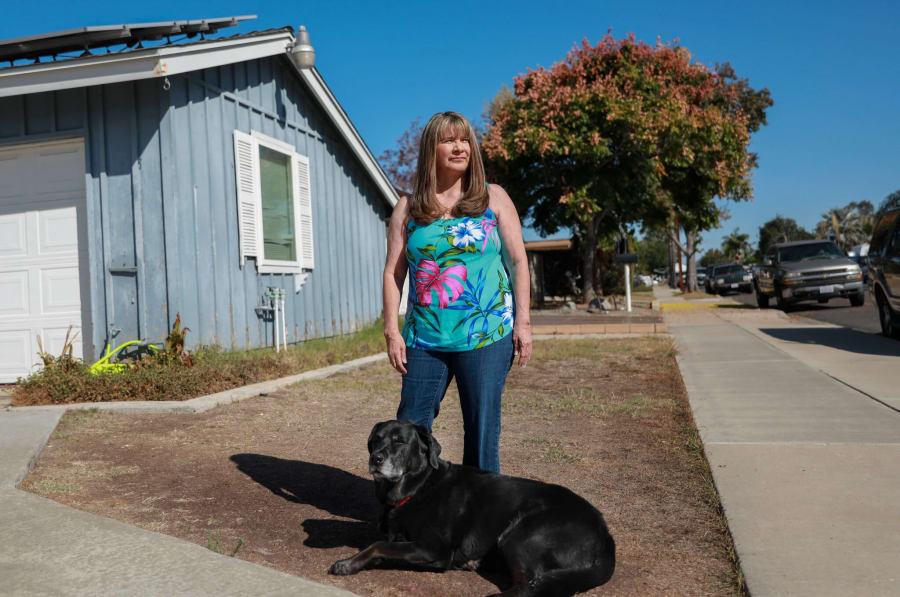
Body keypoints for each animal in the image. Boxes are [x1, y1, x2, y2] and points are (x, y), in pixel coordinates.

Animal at [330, 420, 620, 596]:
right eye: (375, 440)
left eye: (400, 441)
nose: (375, 458)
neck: (418, 488)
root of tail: (605, 534)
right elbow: (386, 546)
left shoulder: (434, 549)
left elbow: (378, 545)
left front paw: (348, 563)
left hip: (519, 535)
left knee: (528, 585)